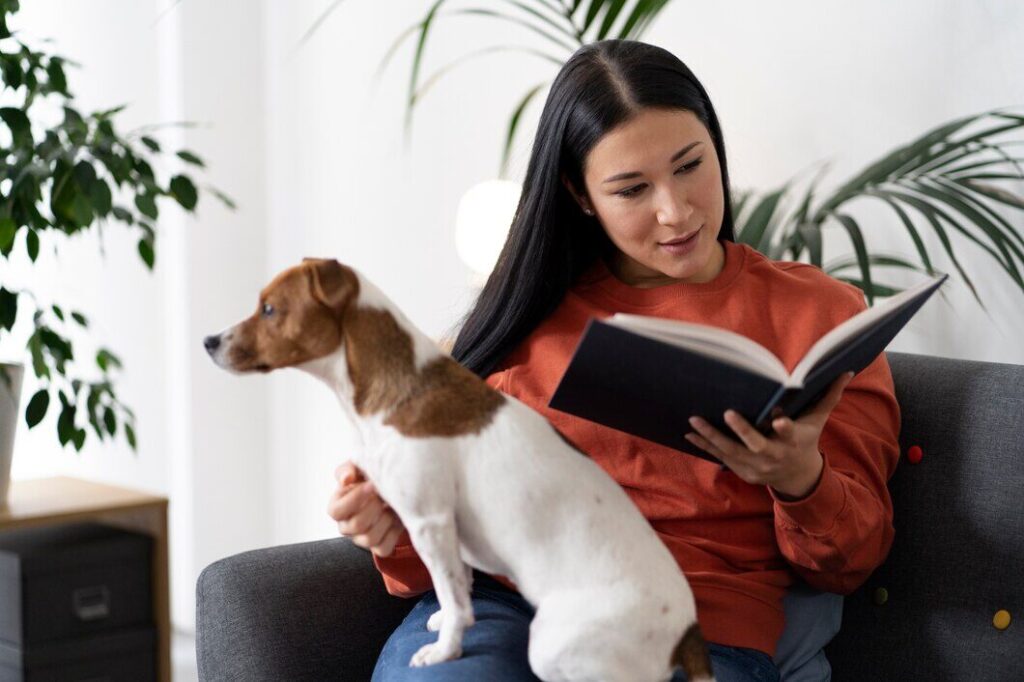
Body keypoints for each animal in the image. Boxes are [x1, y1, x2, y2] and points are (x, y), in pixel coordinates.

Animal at [203, 256, 716, 679]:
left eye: (269, 309)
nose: (208, 340)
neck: (397, 387)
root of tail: (687, 635)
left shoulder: (429, 521)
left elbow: (449, 590)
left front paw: (445, 648)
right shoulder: (446, 526)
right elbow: (459, 585)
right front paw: (447, 619)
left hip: (557, 648)